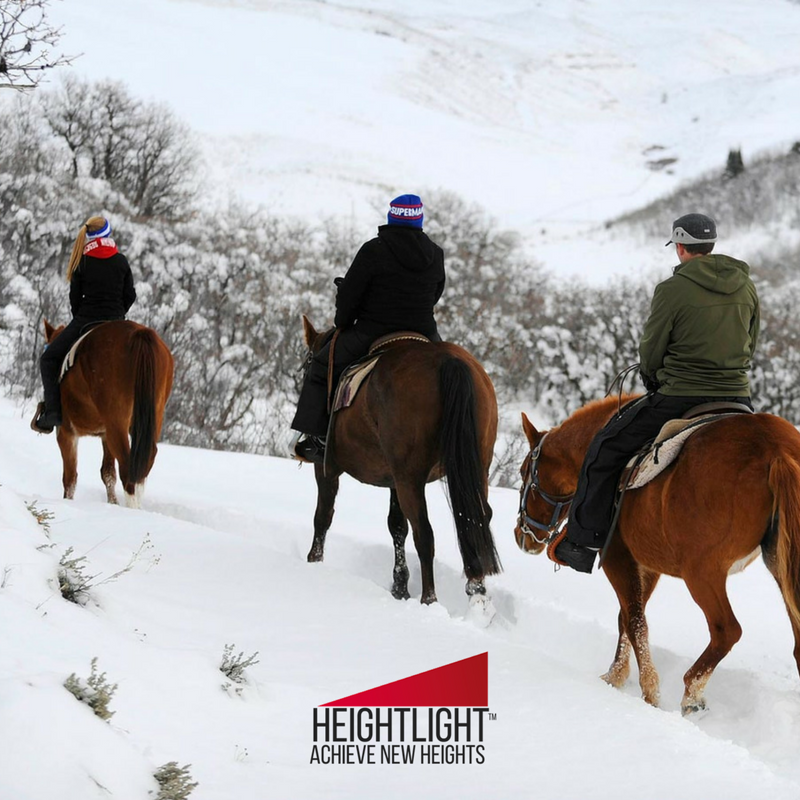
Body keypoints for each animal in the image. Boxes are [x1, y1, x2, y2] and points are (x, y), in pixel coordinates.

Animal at [40, 319, 174, 507]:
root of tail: (138, 333)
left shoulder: (66, 433)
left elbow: (70, 478)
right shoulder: (105, 435)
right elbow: (108, 474)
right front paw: (112, 503)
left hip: (116, 424)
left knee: (128, 468)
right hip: (149, 418)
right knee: (143, 463)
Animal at [300, 316, 501, 606]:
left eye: (308, 364)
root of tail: (448, 361)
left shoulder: (327, 469)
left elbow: (323, 515)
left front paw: (314, 561)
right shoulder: (395, 479)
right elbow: (396, 526)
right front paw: (400, 587)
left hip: (411, 479)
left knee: (424, 534)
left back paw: (429, 599)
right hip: (474, 470)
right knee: (477, 520)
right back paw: (478, 595)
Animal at [514, 395, 800, 714]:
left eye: (523, 472)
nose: (522, 535)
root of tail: (775, 450)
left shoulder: (617, 557)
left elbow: (635, 621)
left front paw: (648, 690)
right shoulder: (647, 565)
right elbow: (626, 617)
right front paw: (615, 675)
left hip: (702, 572)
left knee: (727, 631)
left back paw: (692, 693)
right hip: (782, 567)